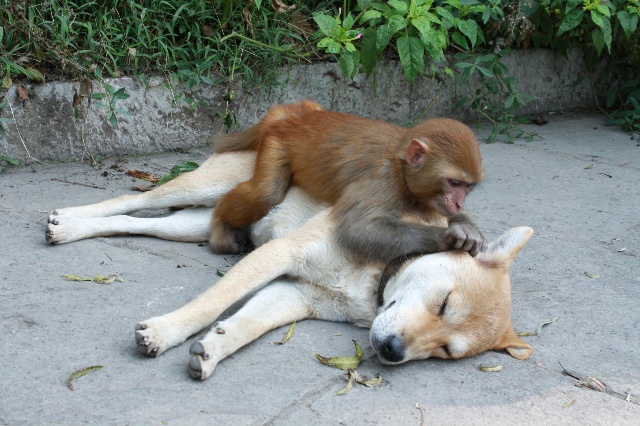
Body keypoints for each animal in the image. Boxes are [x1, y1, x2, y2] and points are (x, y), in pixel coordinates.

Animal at [46, 148, 536, 382]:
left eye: (445, 351)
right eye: (444, 303)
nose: (392, 351)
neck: (375, 279)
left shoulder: (295, 294)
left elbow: (243, 325)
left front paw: (213, 350)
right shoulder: (280, 254)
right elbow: (210, 304)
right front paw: (167, 331)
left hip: (198, 224)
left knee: (134, 223)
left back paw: (71, 228)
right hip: (206, 187)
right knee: (132, 200)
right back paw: (68, 217)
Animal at [210, 100, 484, 262]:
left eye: (468, 187)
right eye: (454, 183)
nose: (458, 203)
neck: (400, 167)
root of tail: (290, 119)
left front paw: (467, 228)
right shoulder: (380, 182)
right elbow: (359, 230)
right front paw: (447, 236)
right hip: (274, 144)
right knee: (265, 194)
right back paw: (221, 224)